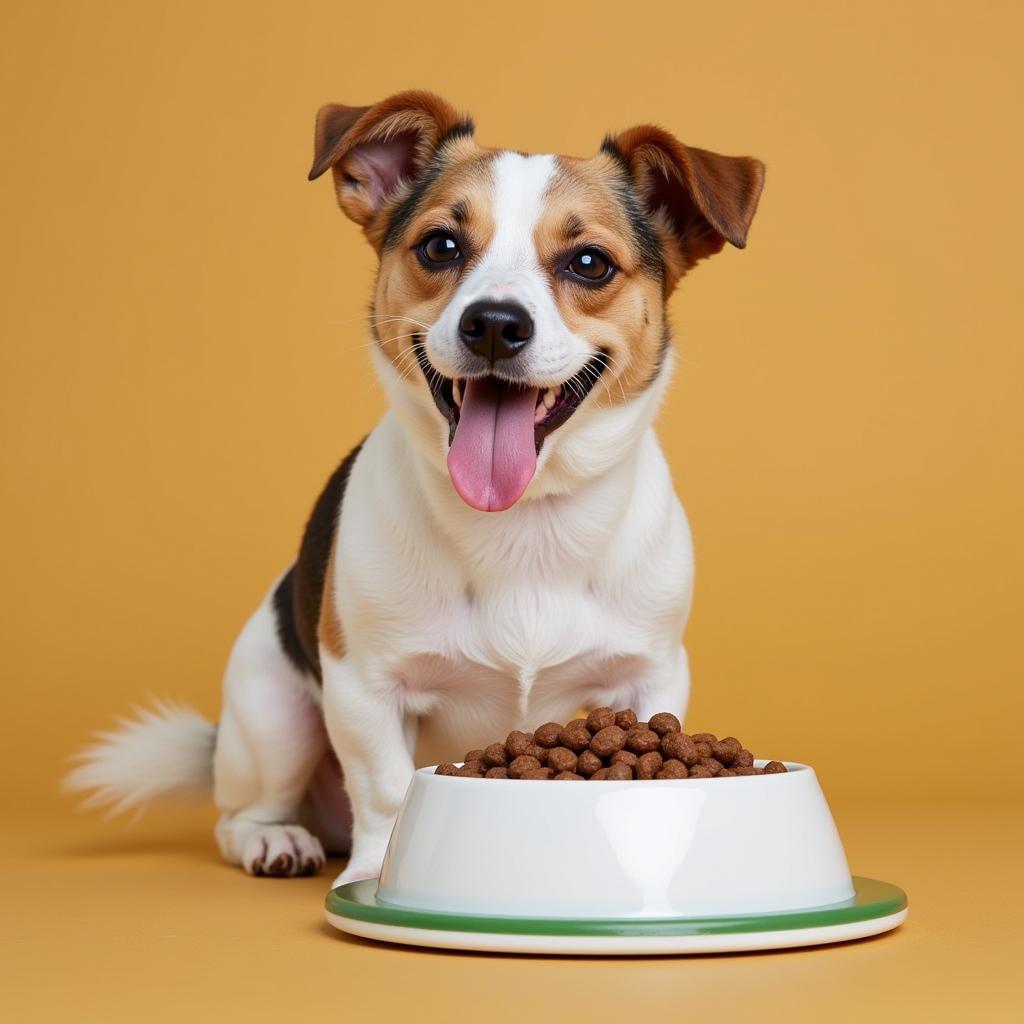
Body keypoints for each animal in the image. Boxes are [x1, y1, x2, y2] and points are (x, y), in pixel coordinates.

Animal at [68, 92, 765, 884]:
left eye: (589, 262)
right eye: (441, 247)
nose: (494, 322)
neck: (522, 520)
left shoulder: (653, 675)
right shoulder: (363, 685)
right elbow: (385, 789)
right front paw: (379, 870)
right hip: (273, 713)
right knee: (238, 815)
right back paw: (274, 840)